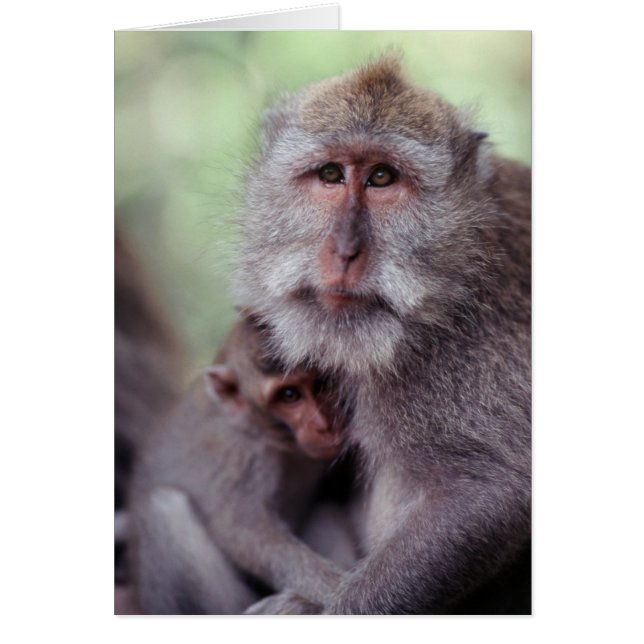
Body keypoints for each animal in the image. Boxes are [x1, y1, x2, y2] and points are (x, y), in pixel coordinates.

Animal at [129, 315, 355, 614]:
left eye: (320, 384)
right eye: (289, 395)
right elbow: (244, 531)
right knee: (163, 506)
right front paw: (340, 589)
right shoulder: (243, 454)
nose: (323, 425)